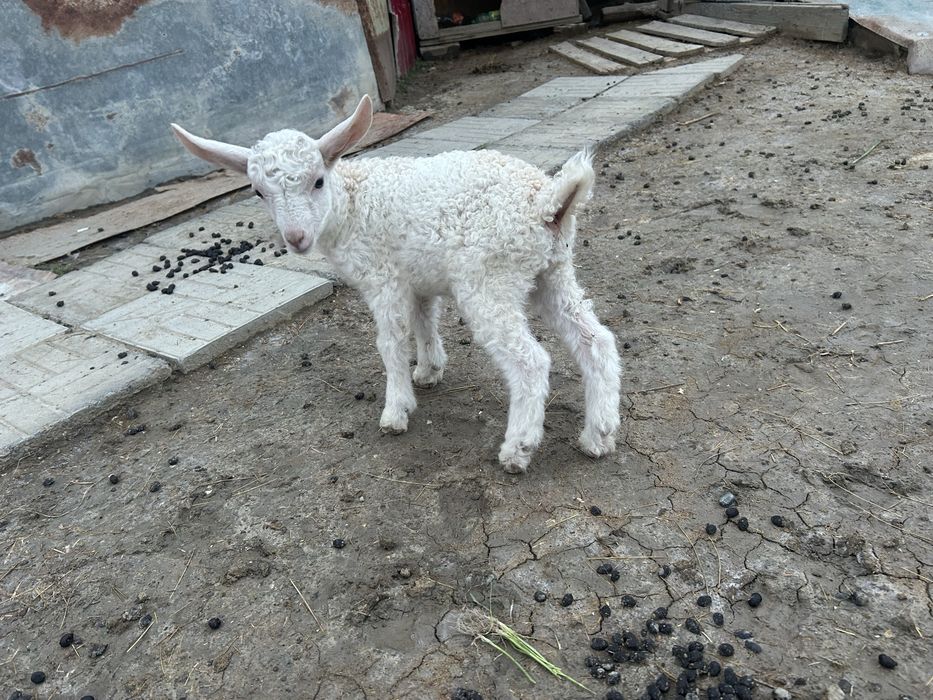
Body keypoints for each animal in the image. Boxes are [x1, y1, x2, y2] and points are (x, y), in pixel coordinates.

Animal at [171, 95, 621, 473]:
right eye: (259, 192)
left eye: (318, 181)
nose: (296, 238)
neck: (352, 204)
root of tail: (547, 203)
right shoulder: (416, 278)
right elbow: (424, 322)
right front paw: (428, 370)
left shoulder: (382, 278)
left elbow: (389, 342)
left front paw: (396, 409)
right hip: (553, 272)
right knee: (595, 340)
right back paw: (598, 435)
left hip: (489, 280)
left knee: (531, 362)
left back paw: (518, 450)